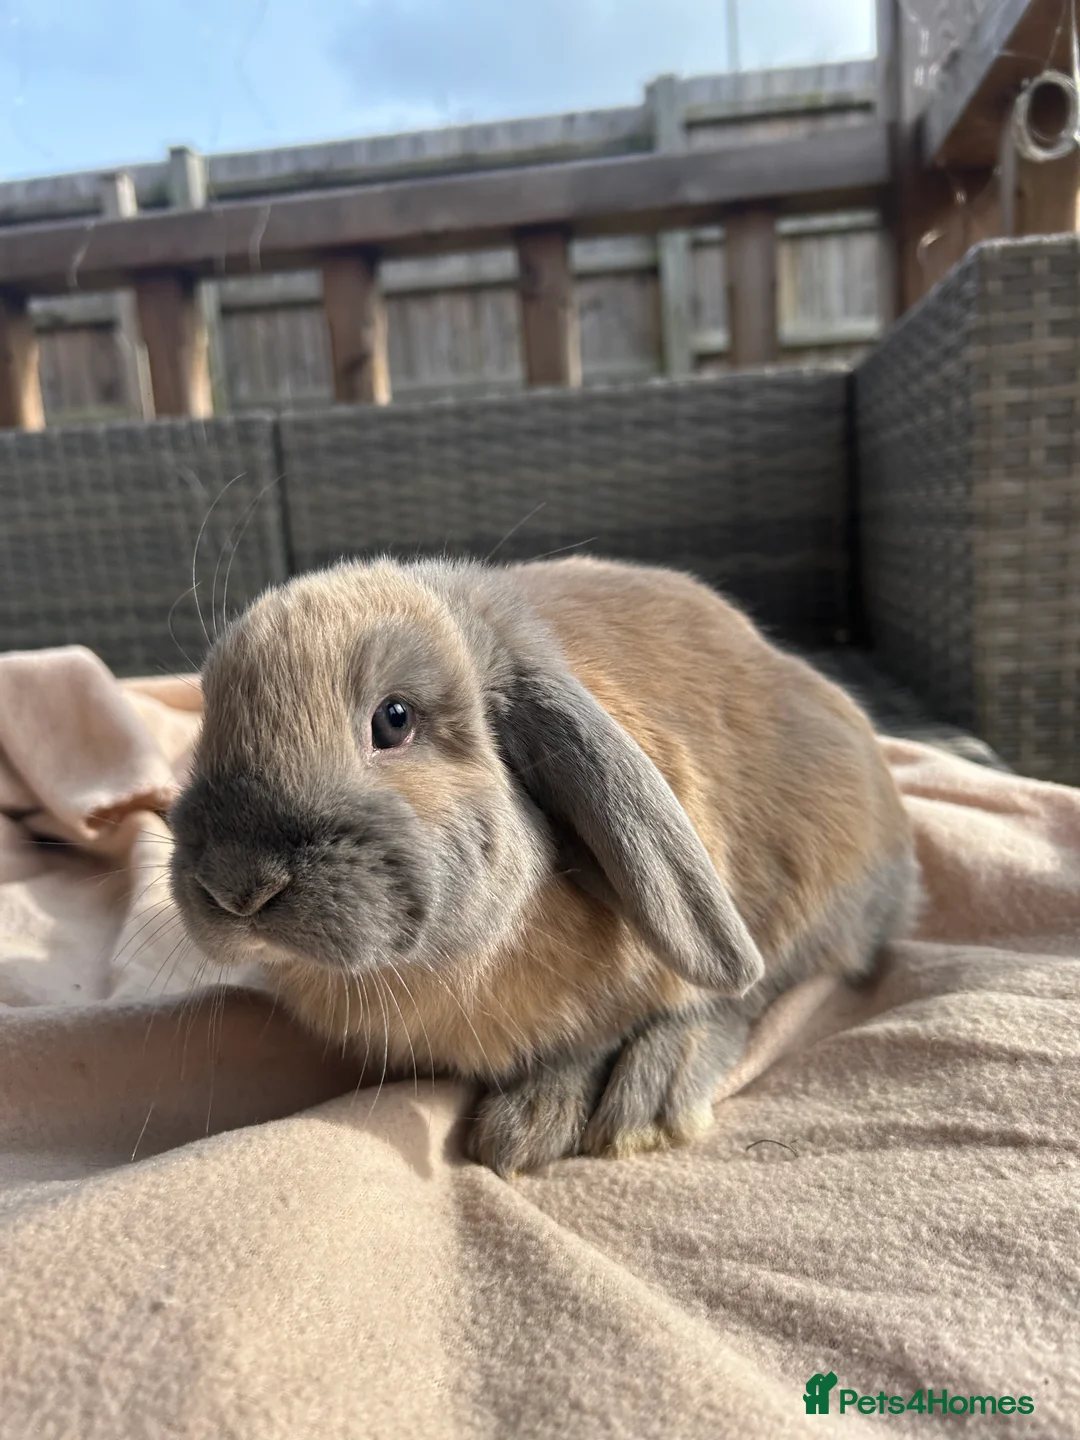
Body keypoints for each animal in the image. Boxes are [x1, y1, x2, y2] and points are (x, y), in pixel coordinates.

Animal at [168, 554, 918, 1176]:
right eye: (209, 721)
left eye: (394, 719)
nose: (236, 886)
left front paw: (527, 1126)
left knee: (755, 993)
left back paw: (648, 1099)